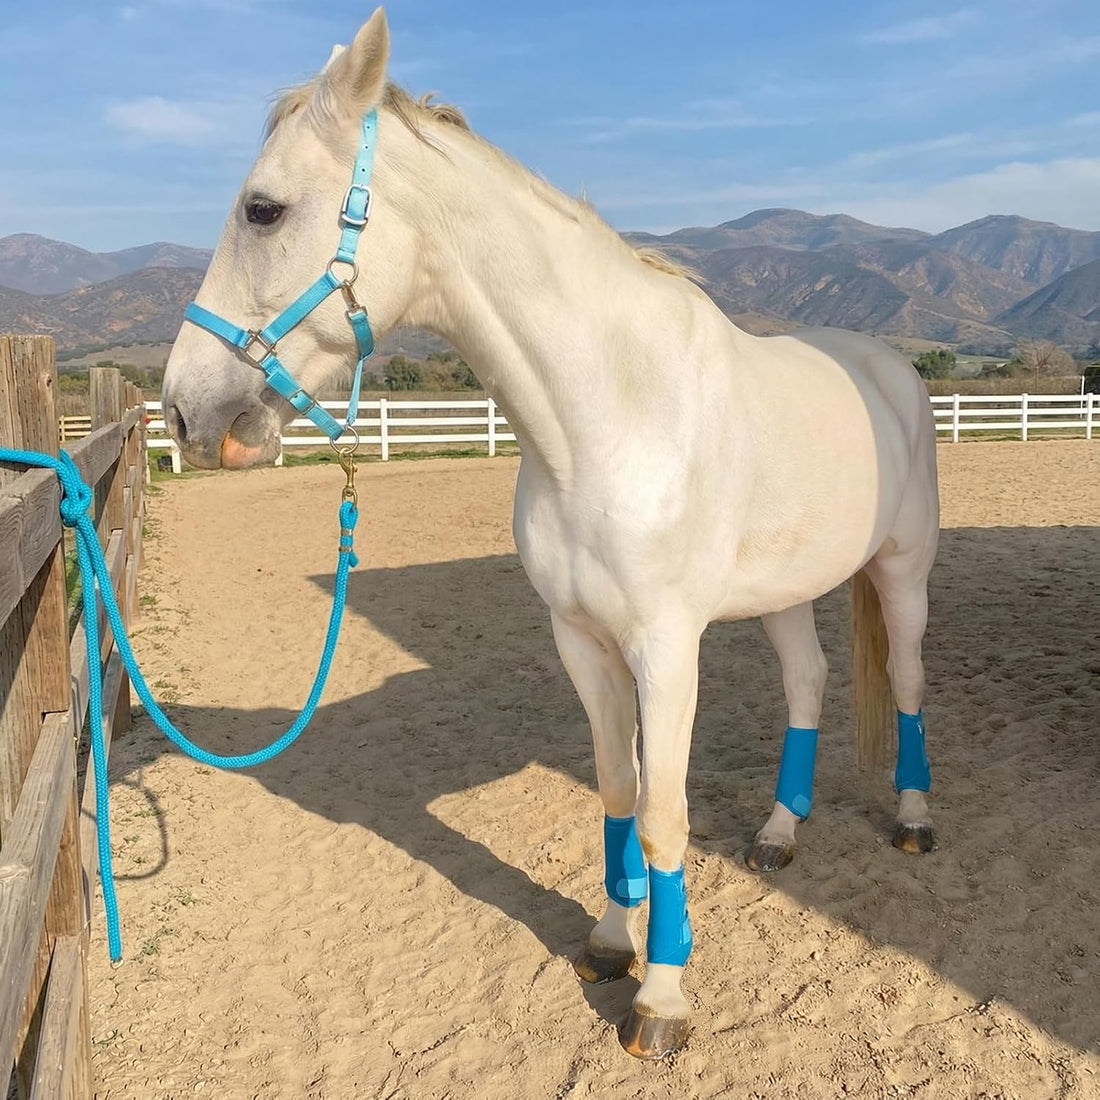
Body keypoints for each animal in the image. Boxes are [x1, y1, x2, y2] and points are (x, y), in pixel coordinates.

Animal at [161, 8, 939, 1060]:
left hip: (903, 572)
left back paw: (913, 819)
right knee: (809, 683)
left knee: (907, 680)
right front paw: (610, 945)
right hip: (785, 588)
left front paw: (662, 1001)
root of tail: (887, 367)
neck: (607, 417)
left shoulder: (667, 648)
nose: (185, 412)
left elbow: (662, 813)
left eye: (263, 209)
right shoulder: (582, 640)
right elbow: (615, 790)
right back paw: (779, 834)